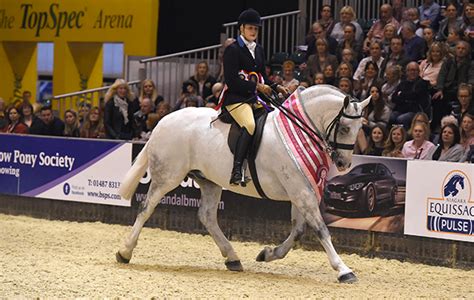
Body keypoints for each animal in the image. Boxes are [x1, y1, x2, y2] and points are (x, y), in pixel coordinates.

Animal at [115, 85, 370, 284]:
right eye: (345, 128)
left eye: (360, 129)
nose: (343, 163)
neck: (300, 132)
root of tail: (163, 121)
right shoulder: (300, 192)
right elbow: (321, 230)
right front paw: (343, 270)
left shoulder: (302, 191)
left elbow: (298, 231)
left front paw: (268, 254)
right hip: (167, 176)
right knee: (146, 208)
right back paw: (124, 252)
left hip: (208, 181)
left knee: (207, 216)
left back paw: (232, 257)